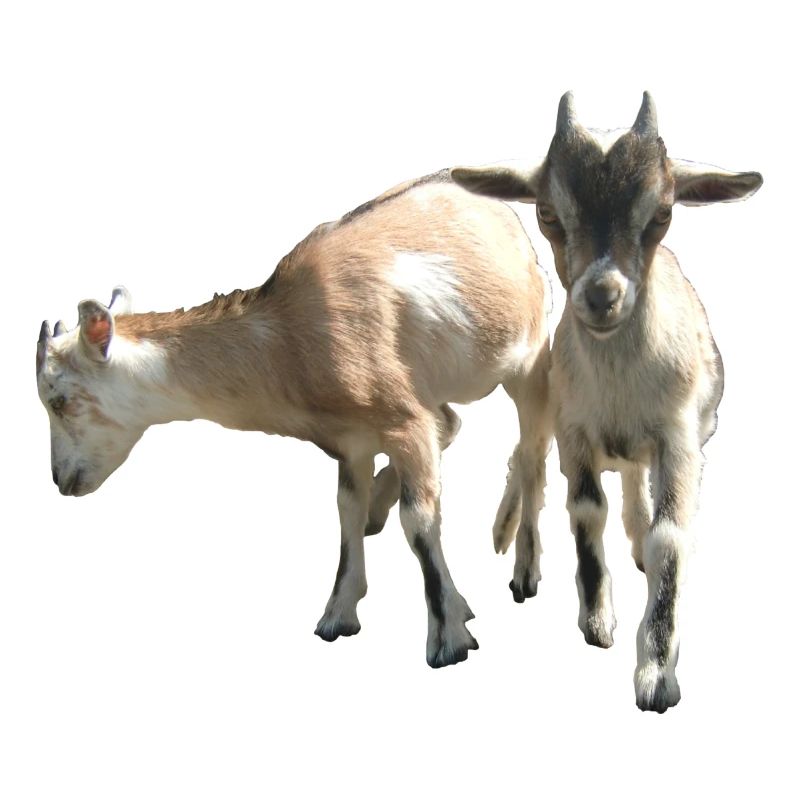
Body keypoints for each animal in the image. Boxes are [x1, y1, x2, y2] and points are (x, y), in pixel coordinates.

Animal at [35, 172, 551, 669]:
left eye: (58, 399)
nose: (62, 480)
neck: (286, 344)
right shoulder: (353, 437)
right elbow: (346, 511)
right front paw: (339, 614)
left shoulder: (403, 422)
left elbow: (420, 520)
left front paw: (449, 638)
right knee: (452, 424)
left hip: (529, 358)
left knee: (531, 452)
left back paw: (523, 573)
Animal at [451, 92, 762, 710]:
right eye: (548, 213)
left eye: (662, 213)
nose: (601, 296)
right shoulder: (573, 430)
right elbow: (585, 510)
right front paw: (597, 621)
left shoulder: (680, 439)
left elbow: (670, 535)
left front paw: (656, 675)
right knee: (526, 462)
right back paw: (515, 553)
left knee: (632, 483)